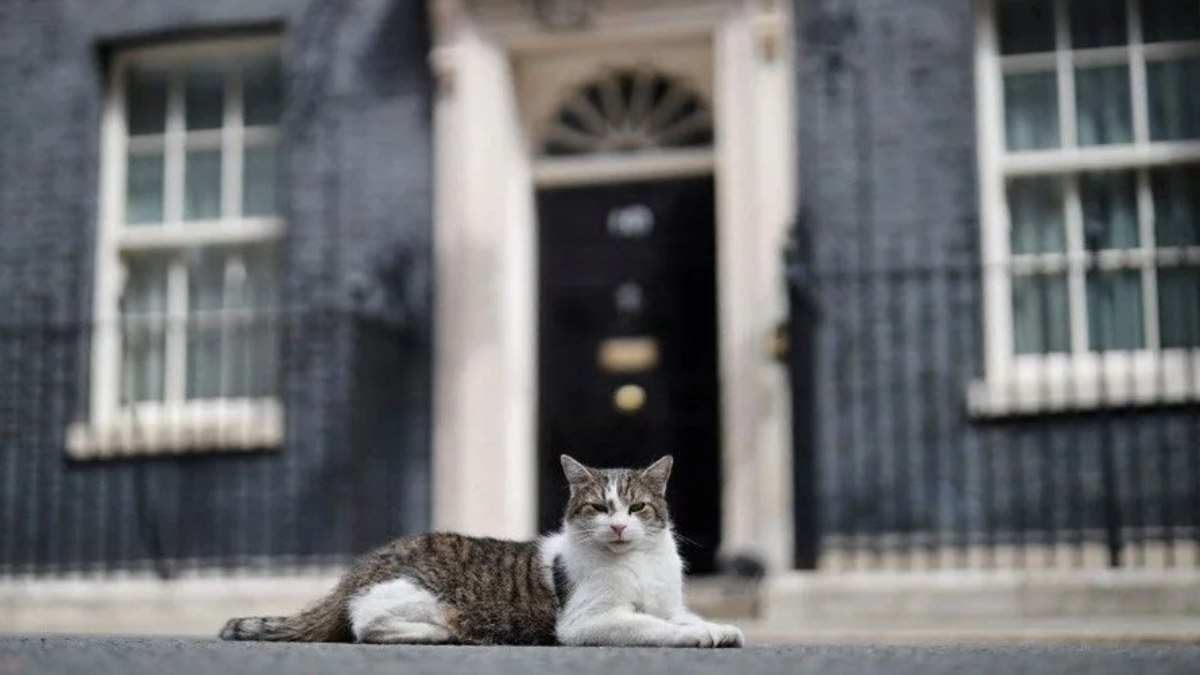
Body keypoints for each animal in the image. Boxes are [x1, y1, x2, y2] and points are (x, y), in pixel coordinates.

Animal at [216, 451, 739, 648]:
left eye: (635, 507)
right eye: (597, 507)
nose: (616, 526)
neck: (636, 562)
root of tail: (363, 566)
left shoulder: (669, 603)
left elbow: (681, 616)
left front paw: (717, 628)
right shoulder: (587, 622)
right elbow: (653, 626)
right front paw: (696, 637)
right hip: (421, 599)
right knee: (365, 624)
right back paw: (440, 634)